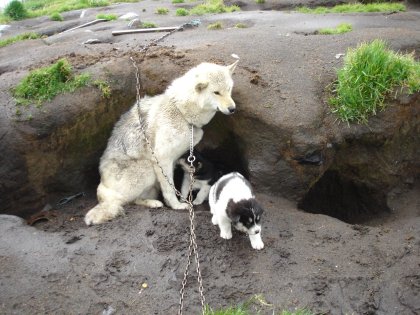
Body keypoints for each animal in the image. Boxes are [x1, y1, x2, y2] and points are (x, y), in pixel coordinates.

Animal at [83, 60, 238, 226]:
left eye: (229, 90)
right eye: (216, 92)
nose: (232, 109)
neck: (181, 112)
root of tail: (102, 188)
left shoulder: (177, 158)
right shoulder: (162, 158)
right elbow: (170, 188)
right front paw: (176, 205)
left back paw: (153, 202)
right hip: (147, 169)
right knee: (125, 201)